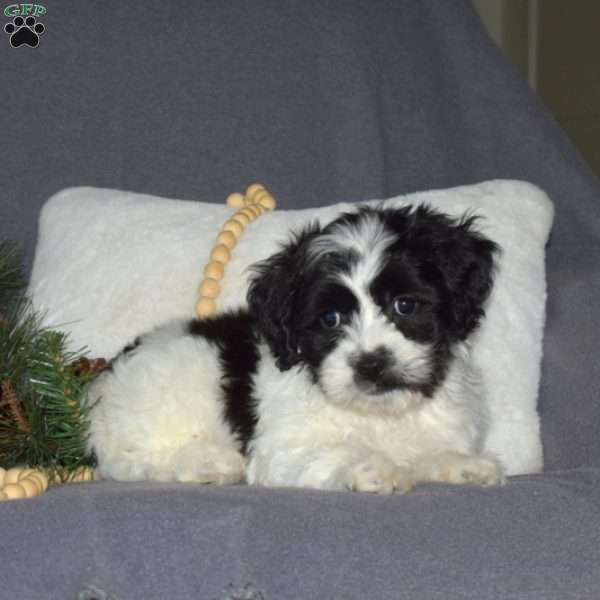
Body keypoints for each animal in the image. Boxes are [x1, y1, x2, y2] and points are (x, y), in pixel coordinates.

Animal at [85, 204, 506, 494]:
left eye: (405, 305)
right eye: (330, 319)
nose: (370, 364)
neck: (378, 413)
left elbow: (429, 452)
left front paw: (465, 464)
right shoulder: (283, 449)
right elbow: (335, 452)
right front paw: (372, 468)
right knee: (131, 461)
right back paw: (209, 462)